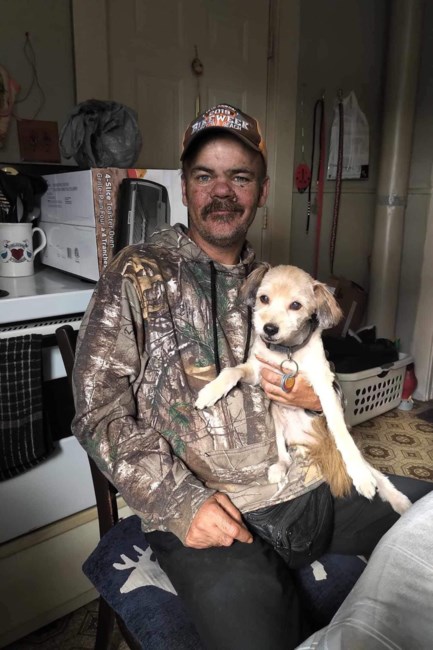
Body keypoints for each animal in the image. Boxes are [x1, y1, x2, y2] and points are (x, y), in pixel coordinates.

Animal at [195, 264, 411, 515]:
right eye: (264, 298)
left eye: (296, 305)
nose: (269, 329)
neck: (287, 352)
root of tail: (311, 444)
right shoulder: (257, 371)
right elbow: (232, 370)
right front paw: (210, 392)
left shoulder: (324, 384)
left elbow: (341, 431)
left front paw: (360, 476)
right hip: (277, 423)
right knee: (285, 456)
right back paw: (279, 467)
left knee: (377, 474)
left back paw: (398, 499)